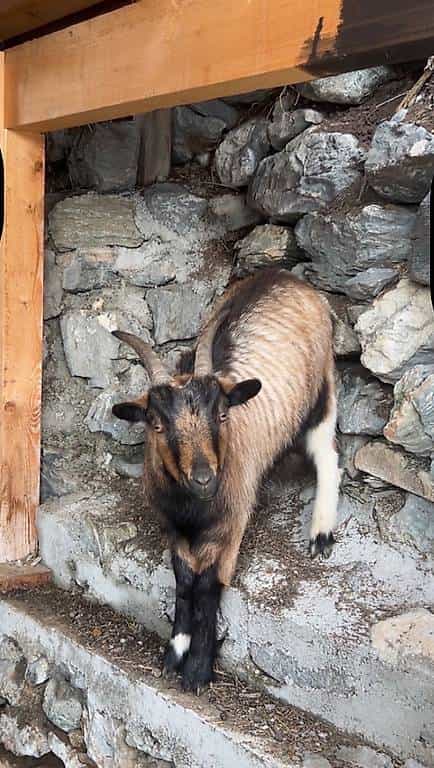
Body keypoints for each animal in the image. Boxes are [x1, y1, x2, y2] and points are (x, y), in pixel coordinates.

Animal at [112, 268, 340, 692]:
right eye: (156, 424)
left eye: (221, 415)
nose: (204, 477)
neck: (193, 509)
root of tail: (288, 276)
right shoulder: (174, 526)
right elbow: (184, 579)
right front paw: (174, 654)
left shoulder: (231, 521)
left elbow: (208, 584)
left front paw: (198, 670)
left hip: (322, 389)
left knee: (327, 454)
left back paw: (320, 533)